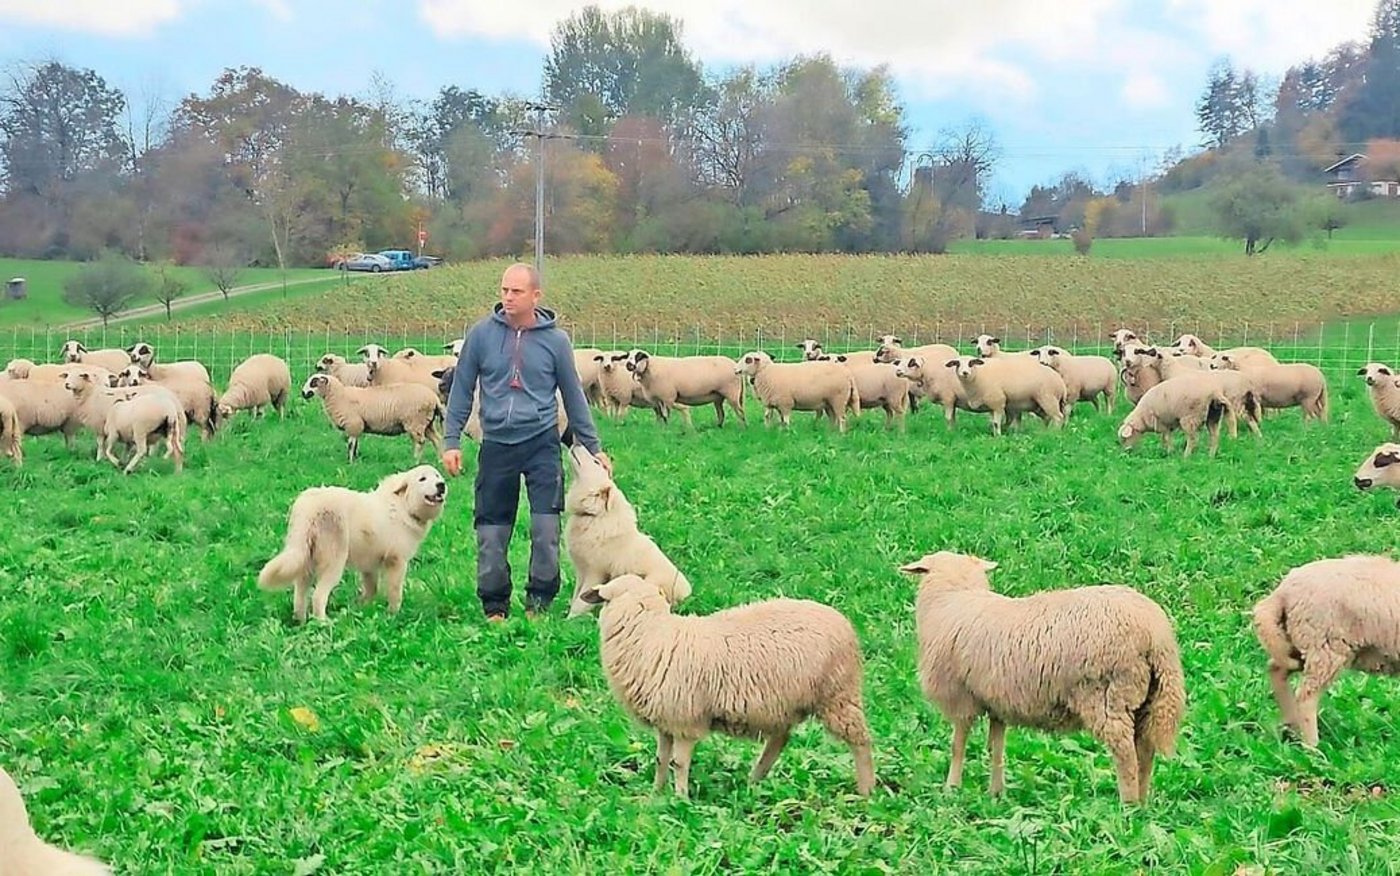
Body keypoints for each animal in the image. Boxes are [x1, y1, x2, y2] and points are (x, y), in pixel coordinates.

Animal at [301, 373, 443, 462]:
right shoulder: (356, 427)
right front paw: (355, 459)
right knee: (436, 439)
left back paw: (415, 460)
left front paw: (350, 462)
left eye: (314, 382)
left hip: (415, 421)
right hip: (427, 423)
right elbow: (355, 444)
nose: (303, 393)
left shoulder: (353, 424)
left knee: (420, 442)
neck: (339, 396)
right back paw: (440, 459)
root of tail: (434, 398)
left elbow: (351, 445)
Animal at [576, 573, 876, 800]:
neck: (652, 633)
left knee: (860, 741)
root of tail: (843, 621)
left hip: (837, 694)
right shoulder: (666, 721)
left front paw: (681, 800)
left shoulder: (685, 720)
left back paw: (866, 792)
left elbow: (678, 763)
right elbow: (661, 759)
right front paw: (656, 795)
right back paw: (753, 782)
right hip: (786, 703)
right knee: (778, 741)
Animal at [901, 551, 1184, 805]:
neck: (954, 598)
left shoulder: (961, 698)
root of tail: (1155, 635)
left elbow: (957, 746)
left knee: (1126, 754)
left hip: (1106, 696)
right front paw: (996, 794)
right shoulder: (997, 703)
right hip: (1149, 699)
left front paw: (951, 789)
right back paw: (1142, 803)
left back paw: (1128, 807)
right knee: (1144, 751)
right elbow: (997, 748)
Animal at [1252, 554, 1400, 748]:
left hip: (1298, 644)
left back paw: (1292, 727)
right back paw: (1313, 748)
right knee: (1306, 697)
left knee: (1277, 670)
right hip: (1325, 648)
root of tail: (1282, 592)